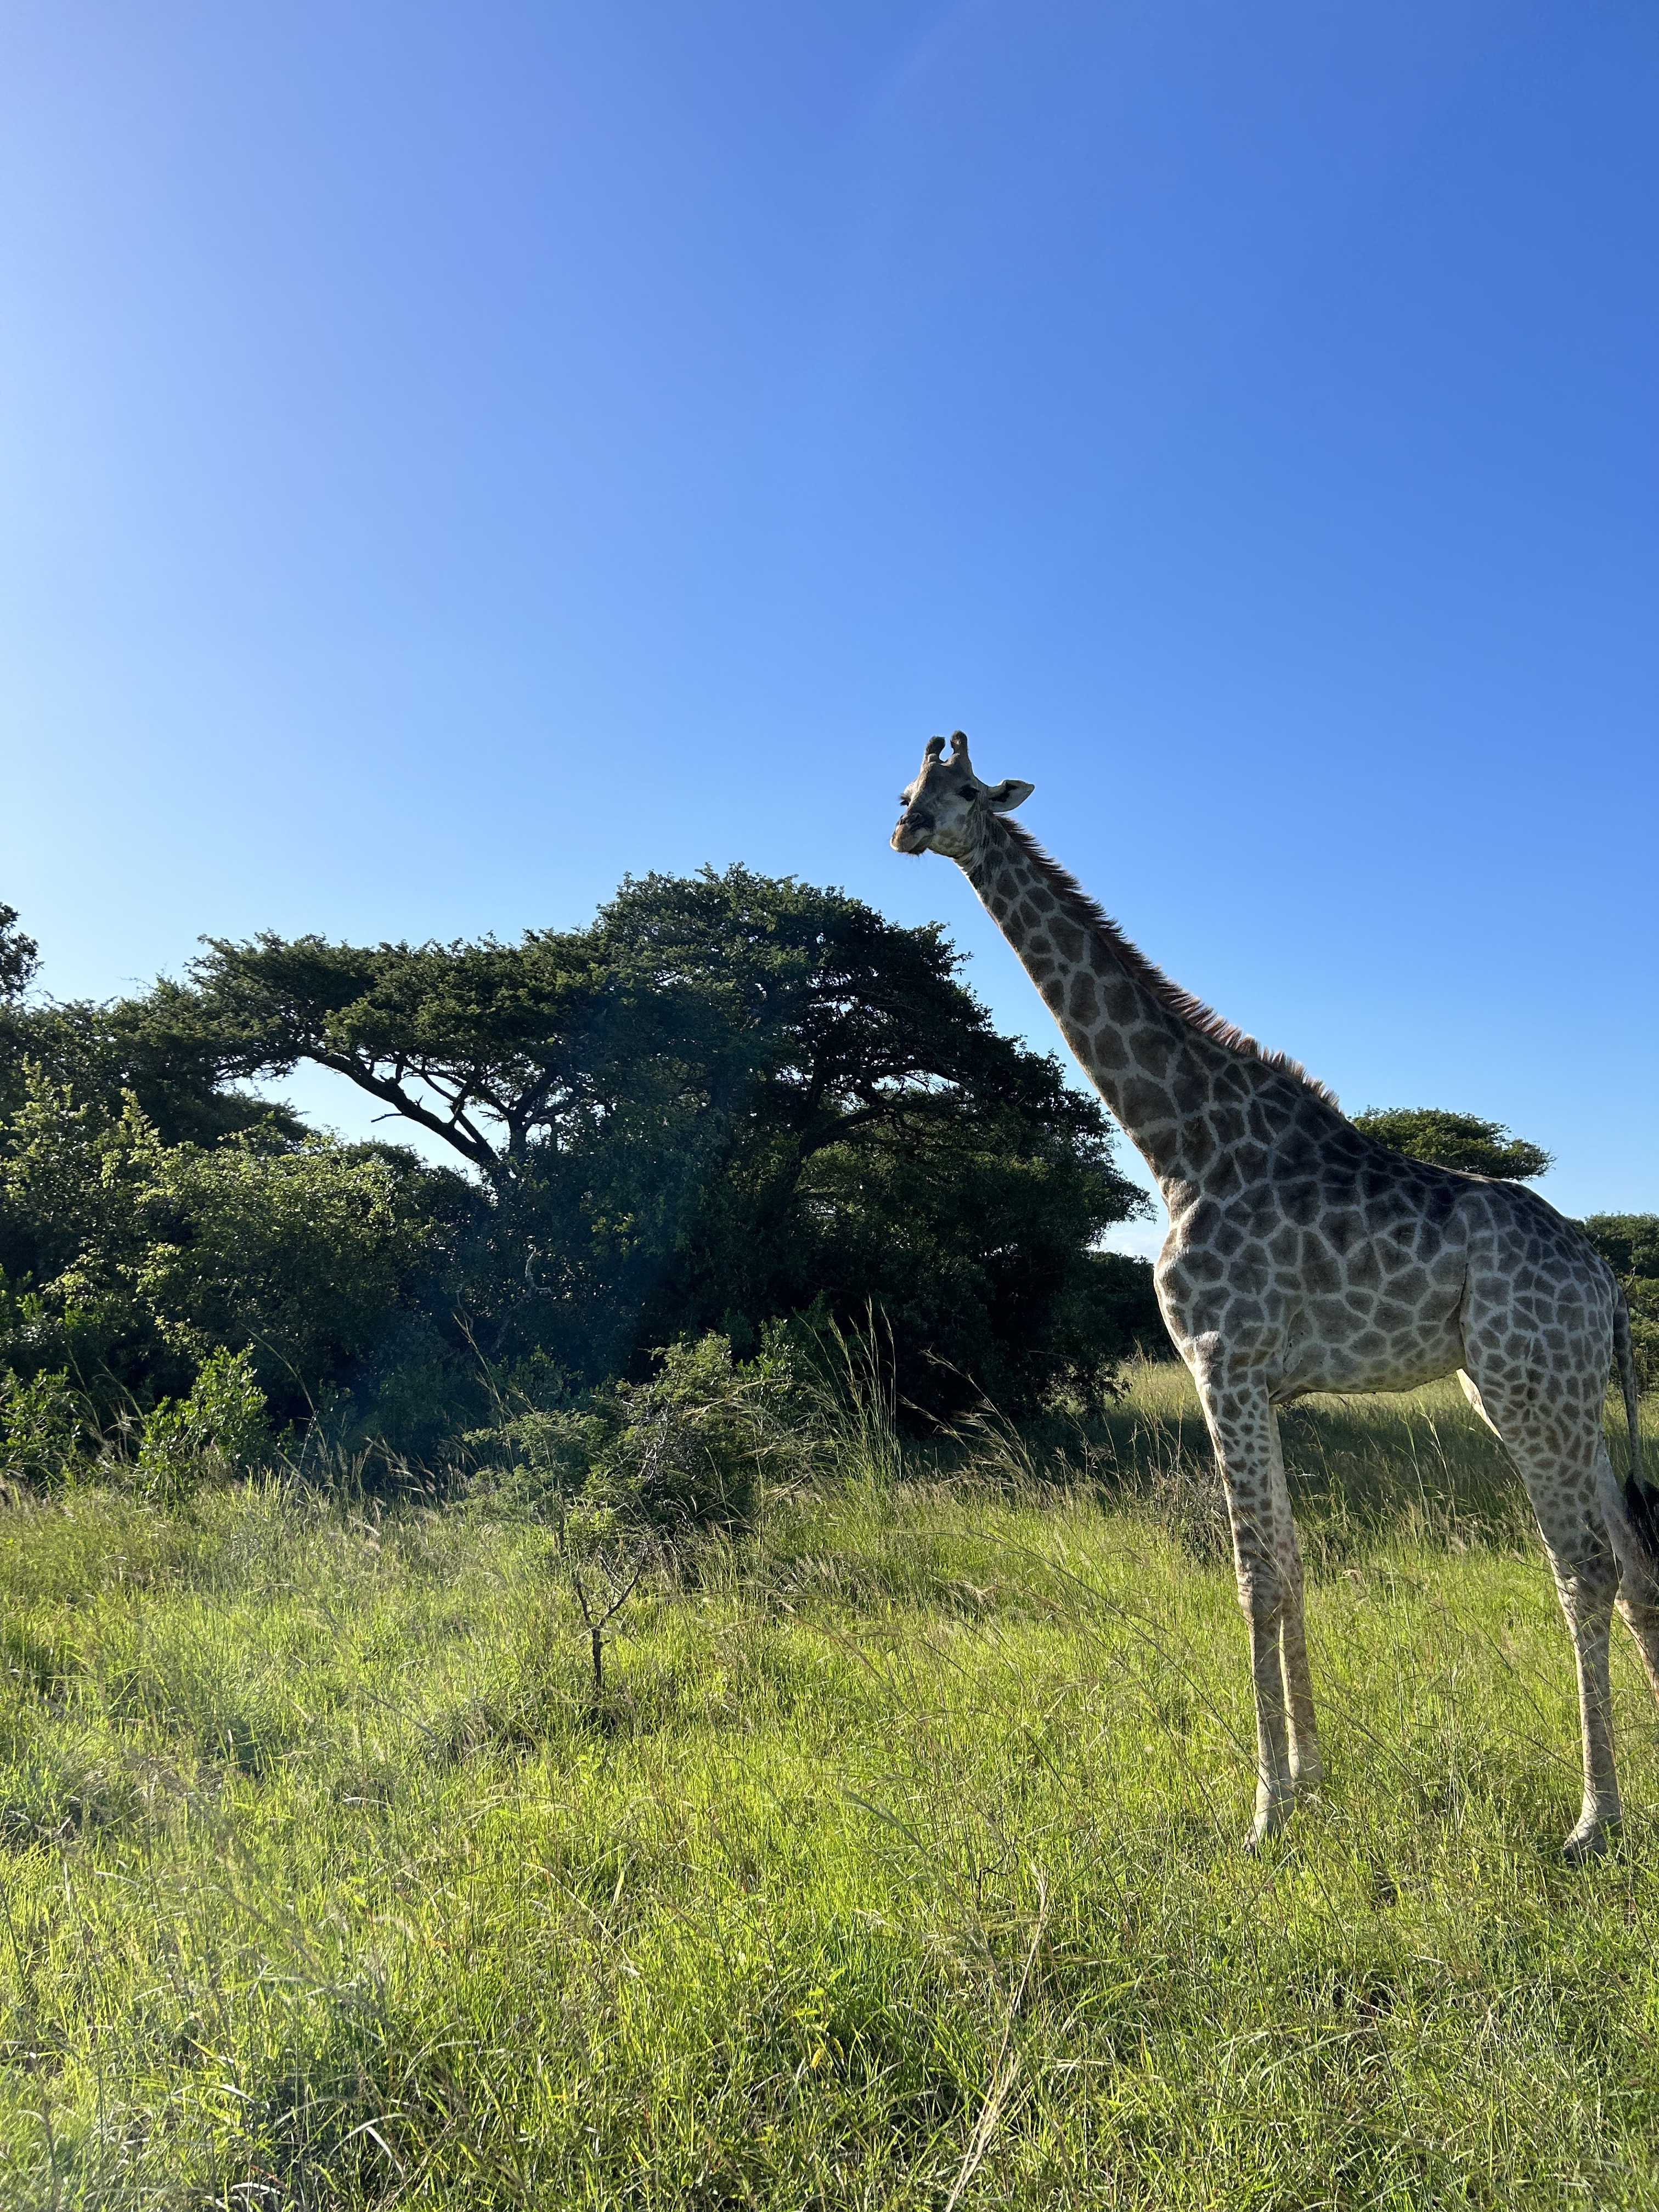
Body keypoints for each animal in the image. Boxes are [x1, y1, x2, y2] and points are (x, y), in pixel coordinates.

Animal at [892, 729, 1658, 1856]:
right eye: (909, 787)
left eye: (963, 793)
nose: (902, 831)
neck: (1178, 1142)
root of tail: (1606, 1285)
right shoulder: (1261, 1385)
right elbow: (1293, 1567)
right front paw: (1312, 1783)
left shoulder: (1222, 1363)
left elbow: (1254, 1579)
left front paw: (1262, 1815)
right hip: (1551, 1394)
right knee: (1636, 1559)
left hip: (1526, 1387)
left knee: (1585, 1569)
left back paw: (1592, 1820)